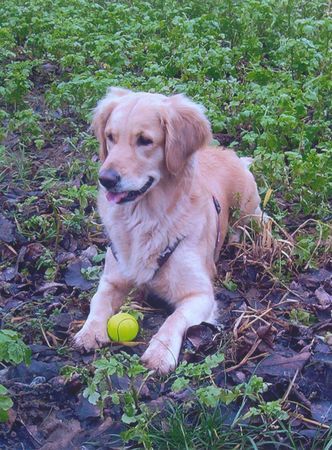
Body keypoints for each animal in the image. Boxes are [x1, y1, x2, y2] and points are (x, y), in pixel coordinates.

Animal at [74, 87, 264, 372]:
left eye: (145, 140)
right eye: (110, 137)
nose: (105, 179)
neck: (145, 217)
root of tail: (231, 155)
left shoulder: (200, 293)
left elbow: (174, 318)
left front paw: (160, 353)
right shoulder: (113, 277)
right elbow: (98, 299)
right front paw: (90, 331)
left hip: (250, 210)